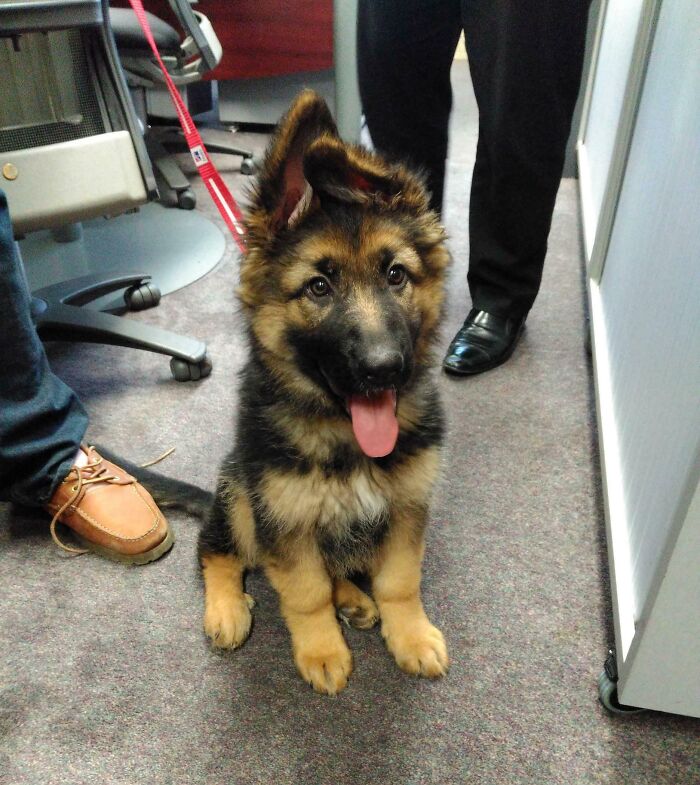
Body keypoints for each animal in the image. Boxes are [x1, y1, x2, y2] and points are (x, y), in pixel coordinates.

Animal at [198, 90, 448, 692]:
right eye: (318, 287)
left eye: (396, 275)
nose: (384, 370)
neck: (346, 437)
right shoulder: (284, 518)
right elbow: (304, 591)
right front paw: (320, 650)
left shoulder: (406, 507)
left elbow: (400, 581)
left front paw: (410, 636)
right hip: (240, 494)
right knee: (218, 551)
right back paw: (226, 607)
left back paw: (354, 599)